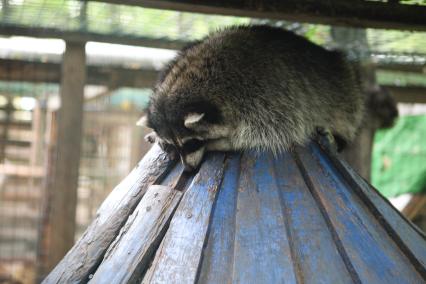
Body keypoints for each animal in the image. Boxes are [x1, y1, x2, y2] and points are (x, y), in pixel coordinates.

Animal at [138, 25, 364, 171]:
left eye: (191, 142)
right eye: (176, 144)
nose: (189, 169)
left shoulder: (268, 98)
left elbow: (267, 134)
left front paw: (221, 142)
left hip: (346, 94)